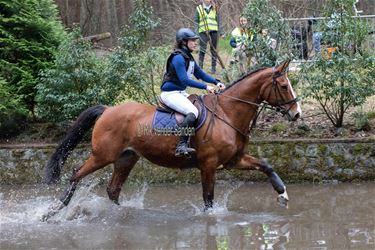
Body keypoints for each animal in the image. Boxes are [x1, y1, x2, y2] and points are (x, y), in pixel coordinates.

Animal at [44, 59, 302, 218]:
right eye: (283, 86)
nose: (296, 113)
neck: (227, 113)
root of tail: (108, 109)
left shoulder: (234, 160)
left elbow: (267, 166)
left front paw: (283, 195)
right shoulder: (208, 165)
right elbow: (208, 197)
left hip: (126, 158)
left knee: (113, 189)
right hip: (102, 156)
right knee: (76, 174)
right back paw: (54, 209)